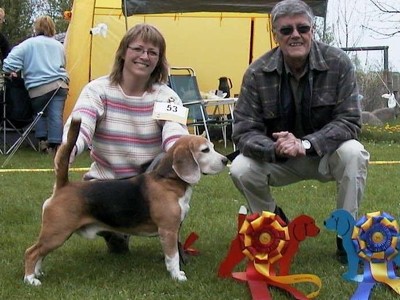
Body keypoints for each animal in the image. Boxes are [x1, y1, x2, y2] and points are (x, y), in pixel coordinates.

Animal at [24, 116, 228, 284]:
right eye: (205, 150)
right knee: (31, 252)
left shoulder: (175, 228)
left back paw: (37, 273)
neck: (168, 180)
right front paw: (177, 276)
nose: (226, 160)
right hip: (57, 232)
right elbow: (173, 256)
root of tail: (63, 185)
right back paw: (30, 279)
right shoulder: (168, 230)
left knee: (40, 253)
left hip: (55, 234)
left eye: (212, 147)